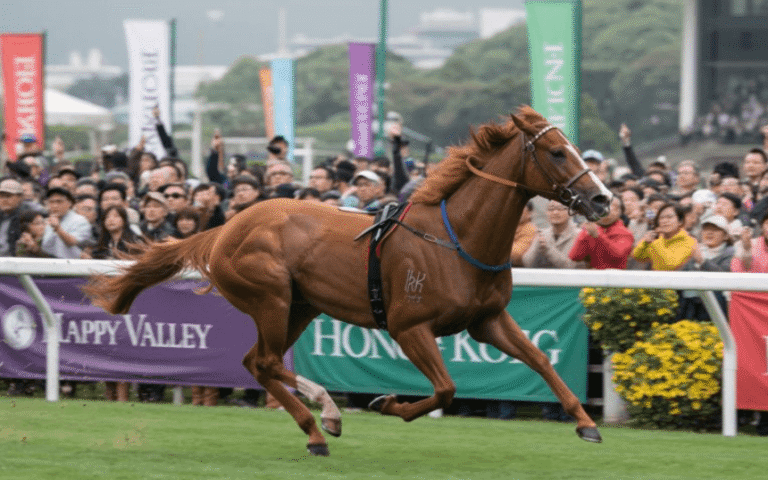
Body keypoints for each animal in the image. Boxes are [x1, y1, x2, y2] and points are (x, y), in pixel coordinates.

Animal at [83, 106, 612, 457]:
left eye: (573, 149)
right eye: (557, 152)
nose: (603, 200)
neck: (457, 239)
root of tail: (225, 227)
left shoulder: (488, 320)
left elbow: (540, 360)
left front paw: (586, 423)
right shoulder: (409, 325)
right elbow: (444, 389)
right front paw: (387, 402)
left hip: (300, 305)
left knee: (256, 363)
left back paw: (318, 426)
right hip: (271, 297)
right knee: (267, 361)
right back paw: (325, 418)